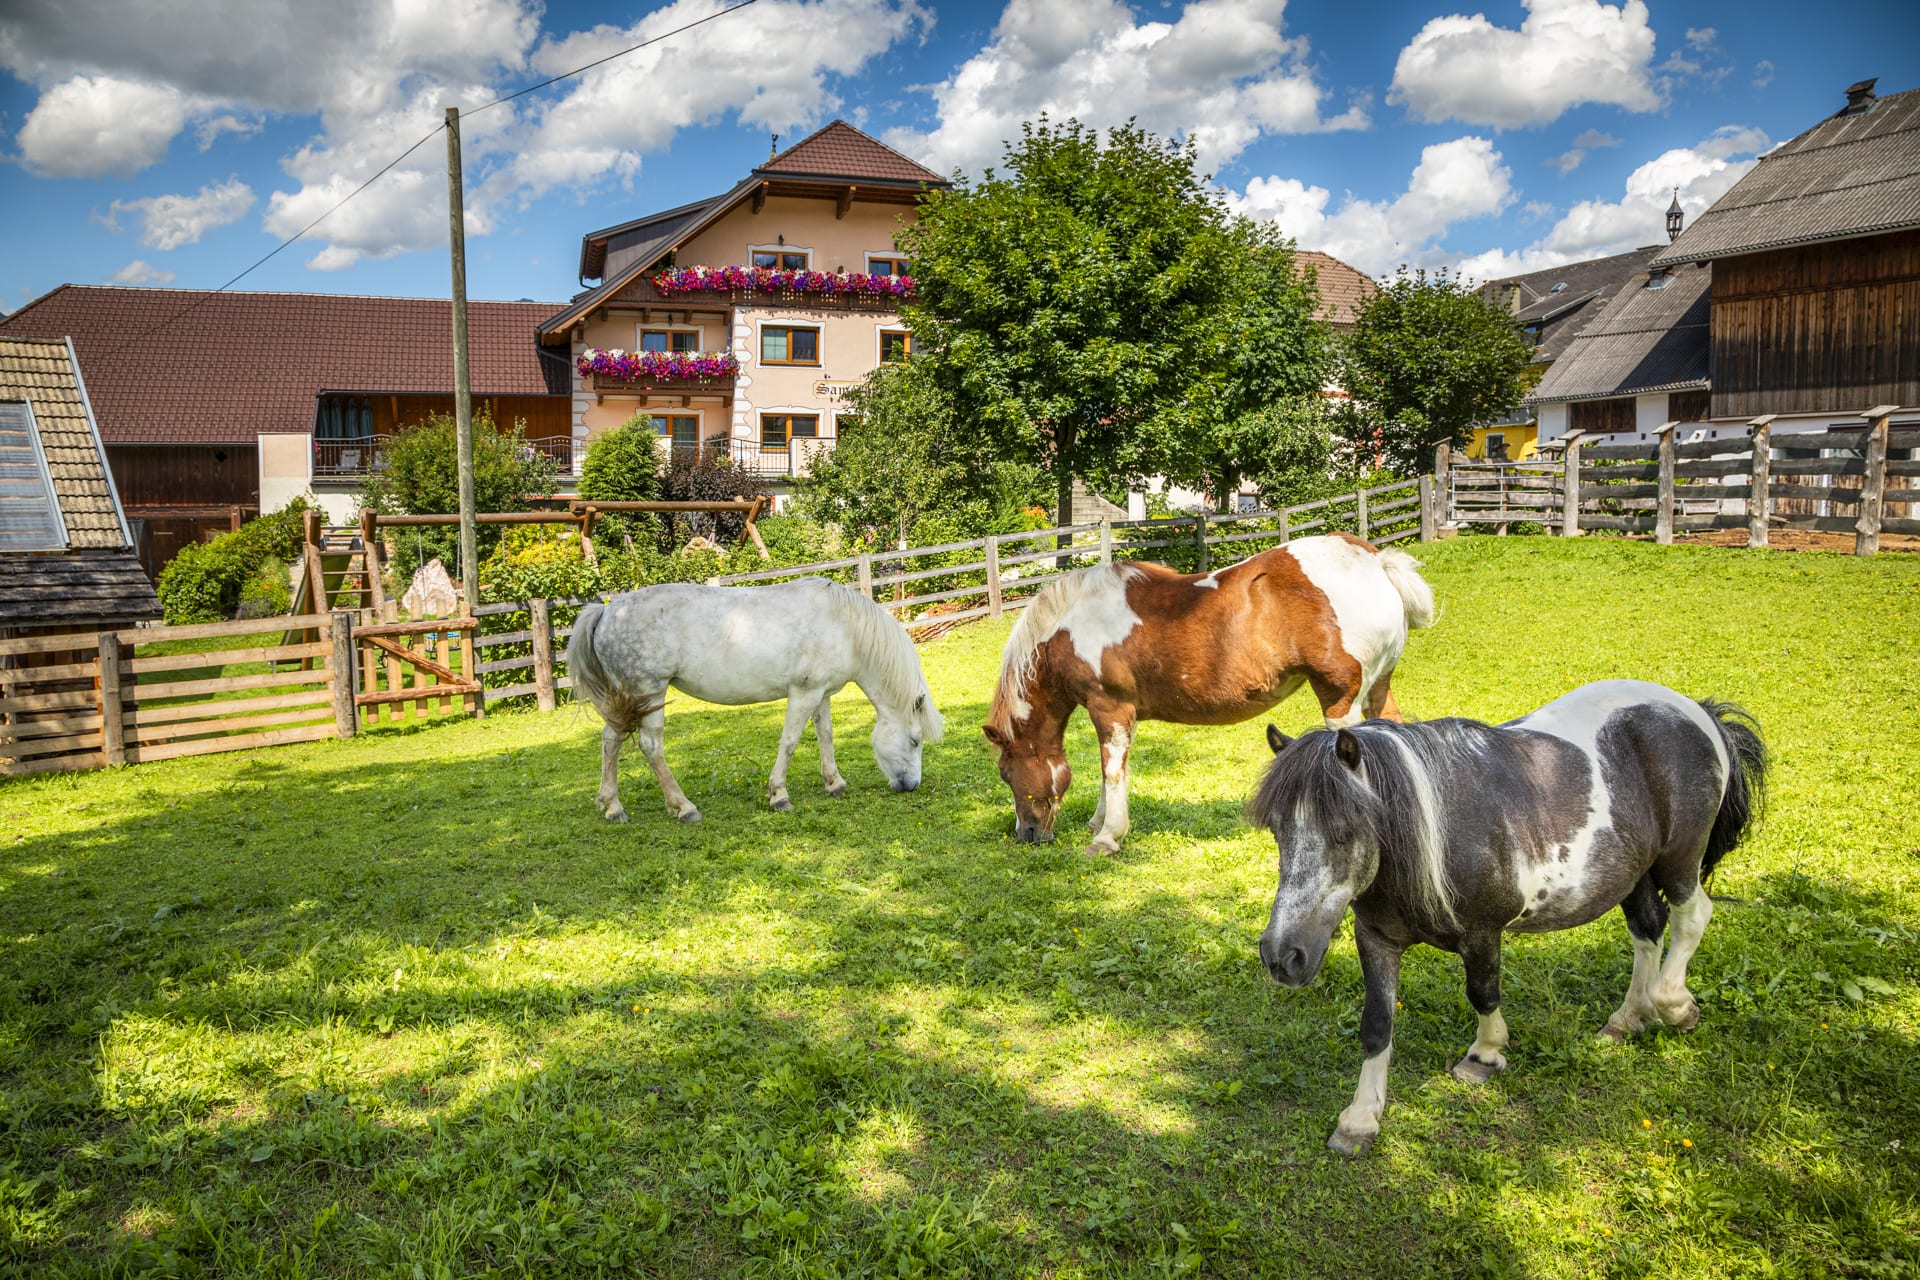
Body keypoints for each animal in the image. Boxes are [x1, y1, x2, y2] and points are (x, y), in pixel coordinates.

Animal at [565, 578, 944, 822]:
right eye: (915, 741)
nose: (911, 786)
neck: (844, 627)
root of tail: (605, 612)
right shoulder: (803, 693)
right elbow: (790, 742)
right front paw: (779, 796)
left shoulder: (821, 694)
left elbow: (826, 736)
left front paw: (834, 783)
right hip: (649, 693)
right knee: (650, 747)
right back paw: (684, 808)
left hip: (626, 701)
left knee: (610, 740)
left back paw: (612, 806)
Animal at [982, 534, 1435, 857]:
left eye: (1006, 773)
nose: (1027, 833)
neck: (1073, 625)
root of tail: (1376, 561)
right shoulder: (1117, 715)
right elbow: (1112, 770)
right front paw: (1099, 824)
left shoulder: (1108, 708)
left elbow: (1111, 770)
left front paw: (1108, 837)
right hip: (1378, 691)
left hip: (1341, 701)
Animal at [1249, 680, 1767, 1155]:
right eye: (1277, 830)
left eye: (1345, 829)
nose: (1282, 956)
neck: (1433, 832)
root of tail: (1697, 712)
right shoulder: (1376, 937)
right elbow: (1376, 1023)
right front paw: (1359, 1119)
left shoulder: (1482, 933)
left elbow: (1482, 992)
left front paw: (1485, 1055)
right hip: (1633, 874)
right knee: (1648, 929)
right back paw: (1628, 1018)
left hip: (1680, 860)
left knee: (1691, 918)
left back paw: (1676, 1006)